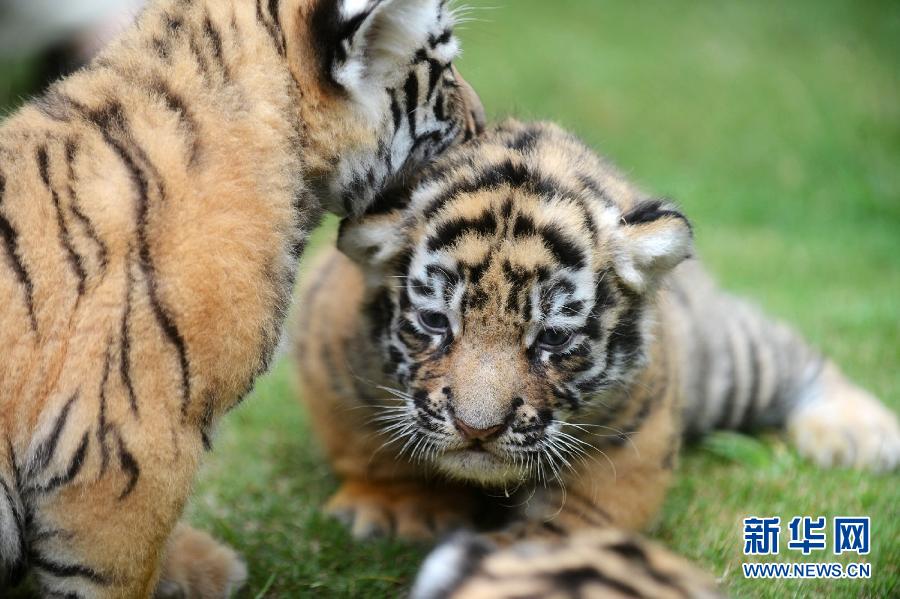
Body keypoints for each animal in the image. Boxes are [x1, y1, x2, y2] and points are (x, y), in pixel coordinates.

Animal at [291, 119, 899, 594]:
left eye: (553, 340)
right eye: (436, 323)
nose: (477, 429)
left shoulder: (636, 430)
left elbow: (590, 510)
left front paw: (532, 555)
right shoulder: (330, 354)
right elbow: (366, 444)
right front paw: (396, 507)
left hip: (727, 362)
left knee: (792, 354)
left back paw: (858, 433)